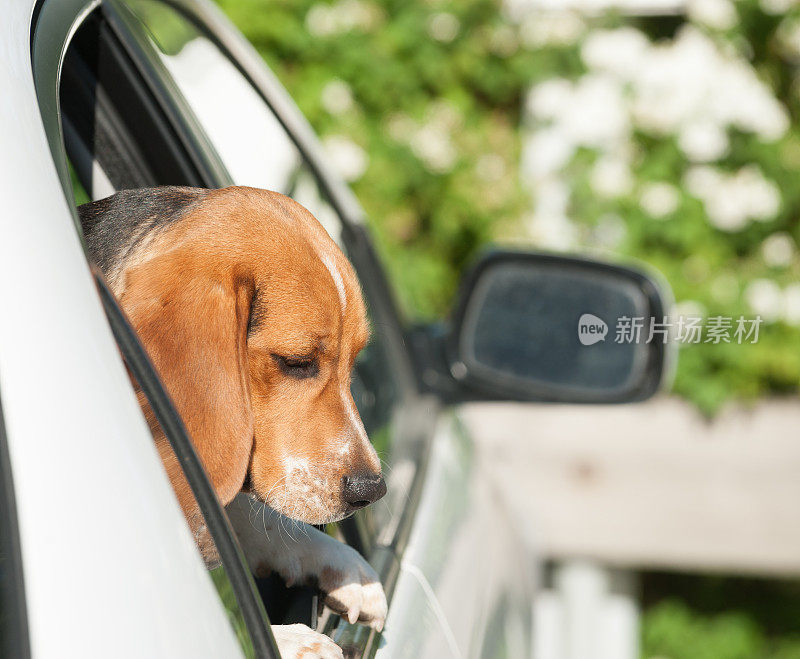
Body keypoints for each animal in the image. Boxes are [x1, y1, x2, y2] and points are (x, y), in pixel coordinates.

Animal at [81, 187, 390, 659]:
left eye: (354, 363)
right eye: (296, 362)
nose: (371, 491)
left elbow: (243, 514)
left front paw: (347, 567)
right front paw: (295, 640)